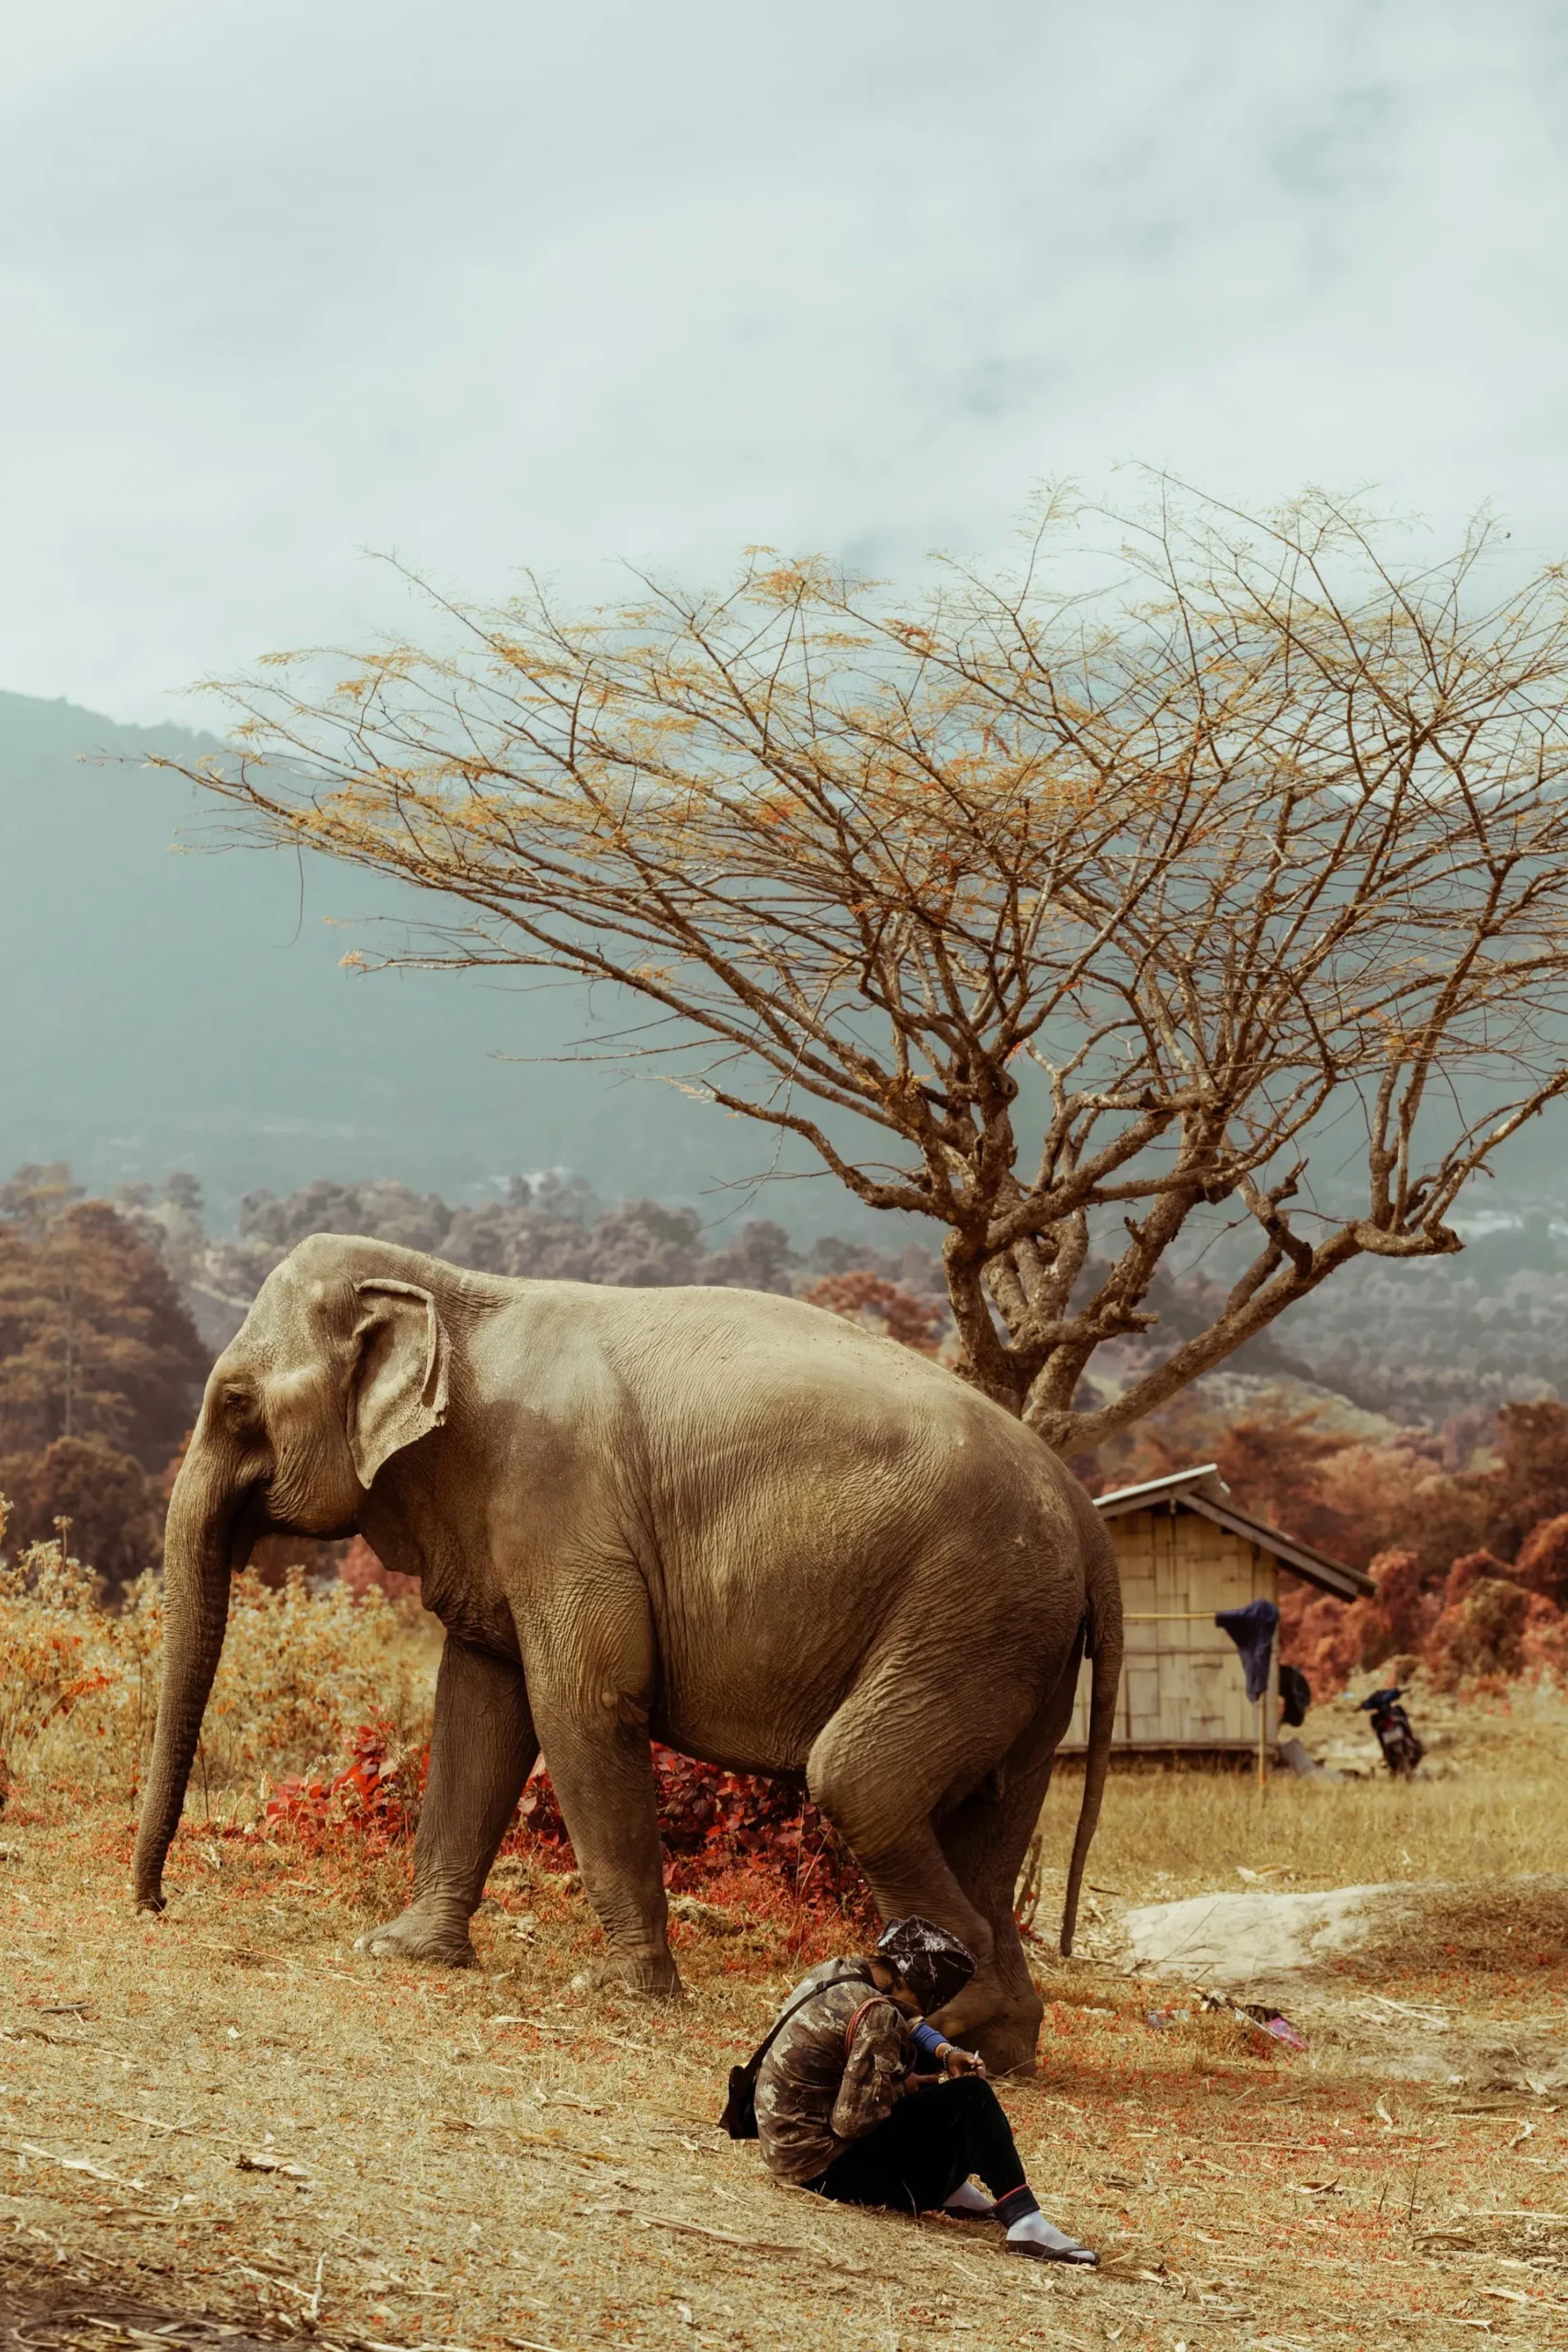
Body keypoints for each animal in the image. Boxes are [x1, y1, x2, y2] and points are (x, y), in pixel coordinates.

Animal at [132, 1234, 1123, 2070]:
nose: (154, 1903)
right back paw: (1002, 2045)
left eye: (235, 1402)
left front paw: (617, 1989)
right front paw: (399, 1950)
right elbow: (479, 1704)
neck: (455, 1294)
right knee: (986, 1814)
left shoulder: (562, 1508)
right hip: (1017, 1644)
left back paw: (950, 2013)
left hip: (972, 1606)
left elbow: (581, 1704)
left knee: (860, 1780)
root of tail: (1087, 1518)